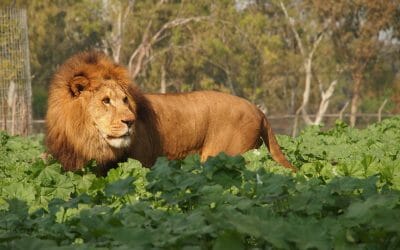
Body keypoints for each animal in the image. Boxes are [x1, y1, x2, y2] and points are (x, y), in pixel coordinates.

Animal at [46, 50, 296, 175]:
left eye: (125, 100)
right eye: (106, 101)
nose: (130, 121)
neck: (86, 140)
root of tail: (258, 110)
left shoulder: (144, 162)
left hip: (228, 154)